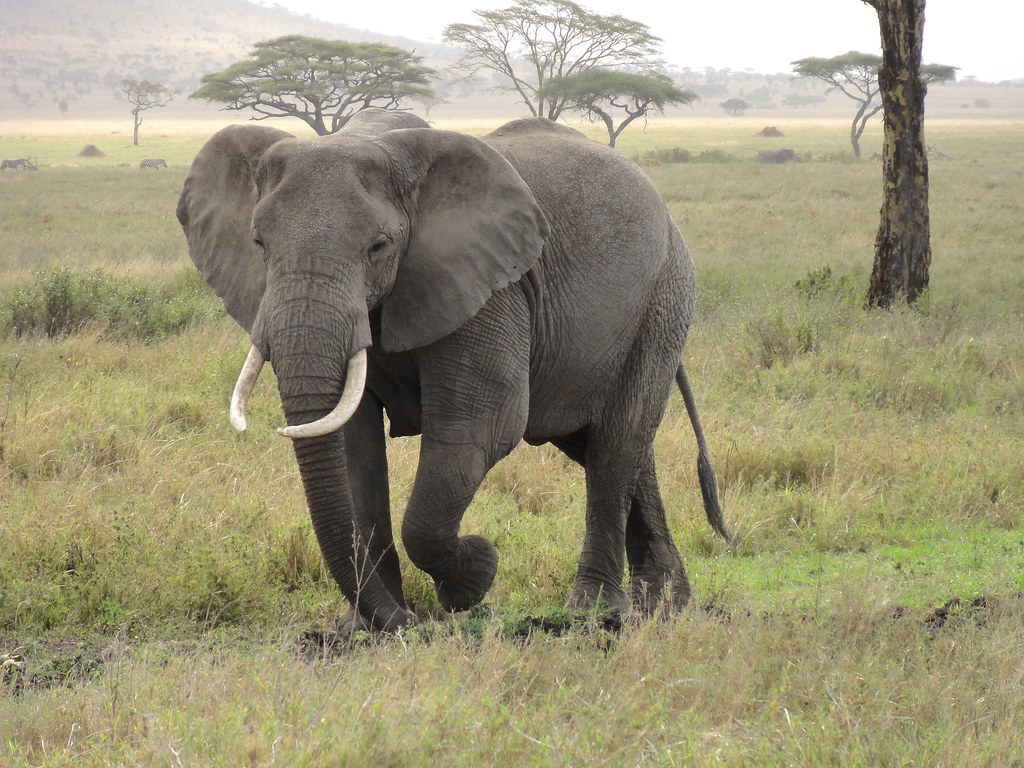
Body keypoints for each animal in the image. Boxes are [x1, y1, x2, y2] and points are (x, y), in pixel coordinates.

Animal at [176, 108, 728, 633]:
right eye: (258, 244)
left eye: (378, 246)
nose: (407, 623)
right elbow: (355, 448)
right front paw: (366, 628)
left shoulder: (491, 289)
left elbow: (478, 429)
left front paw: (475, 576)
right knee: (608, 446)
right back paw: (666, 607)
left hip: (661, 301)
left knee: (617, 442)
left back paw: (595, 613)